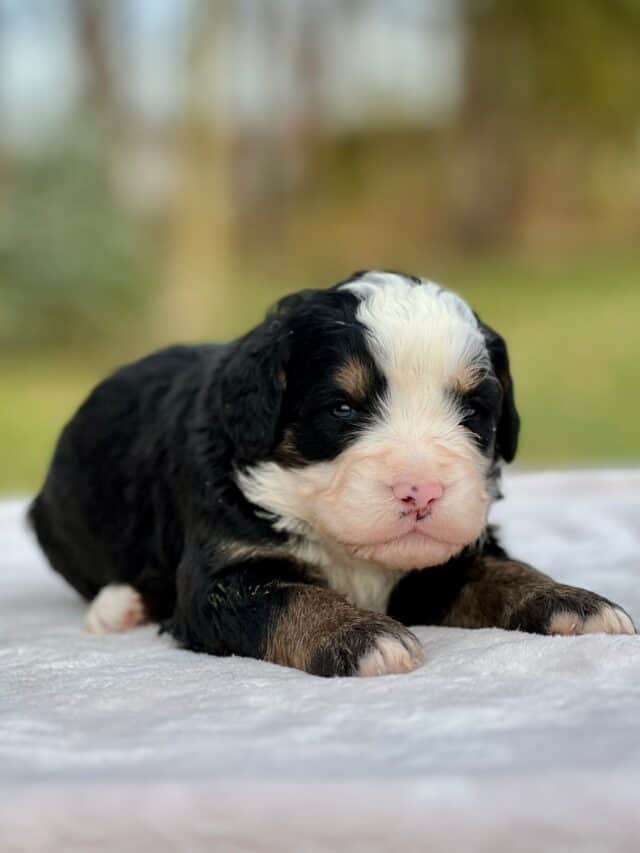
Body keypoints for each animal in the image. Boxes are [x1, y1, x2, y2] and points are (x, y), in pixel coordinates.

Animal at [30, 270, 636, 676]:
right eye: (342, 408)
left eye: (473, 412)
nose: (421, 492)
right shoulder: (225, 574)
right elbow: (292, 600)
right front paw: (361, 636)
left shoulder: (444, 563)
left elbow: (504, 572)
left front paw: (574, 603)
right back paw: (118, 606)